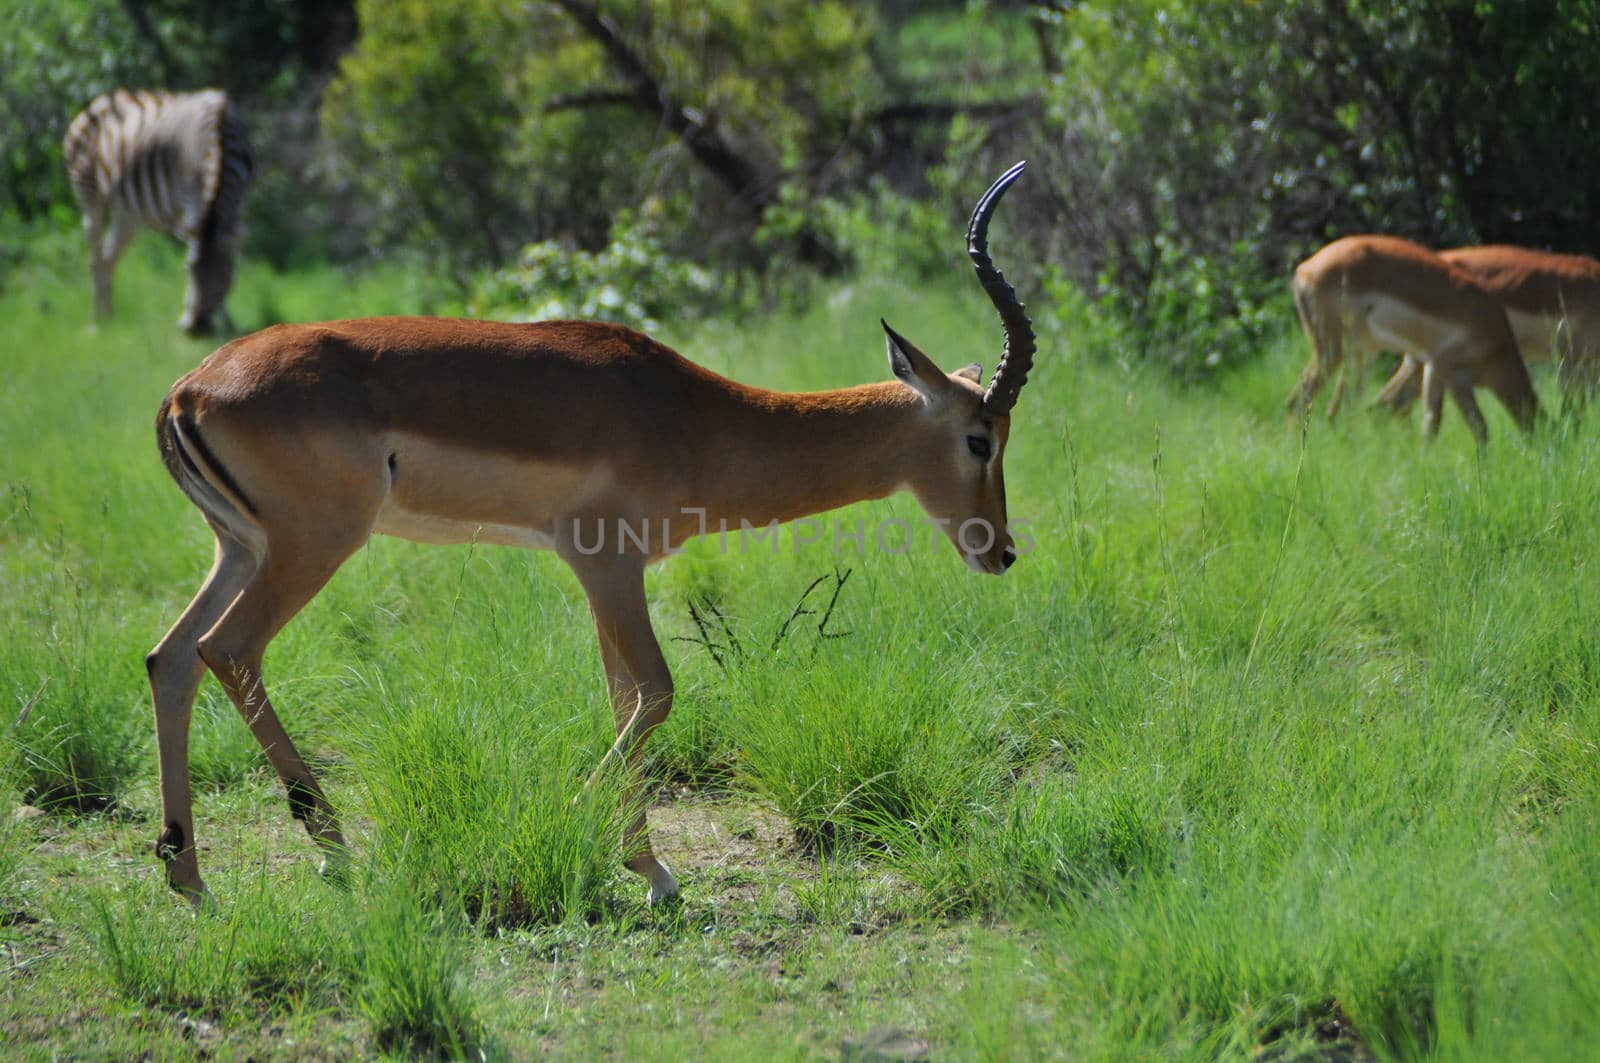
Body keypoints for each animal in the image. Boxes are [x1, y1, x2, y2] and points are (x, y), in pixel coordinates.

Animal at [65, 89, 252, 334]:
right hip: (89, 193)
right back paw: (97, 322)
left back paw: (109, 317)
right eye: (187, 269)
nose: (197, 329)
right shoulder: (191, 196)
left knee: (108, 257)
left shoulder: (237, 204)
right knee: (95, 258)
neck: (219, 141)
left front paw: (228, 324)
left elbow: (229, 250)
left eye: (225, 275)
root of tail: (101, 100)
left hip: (127, 214)